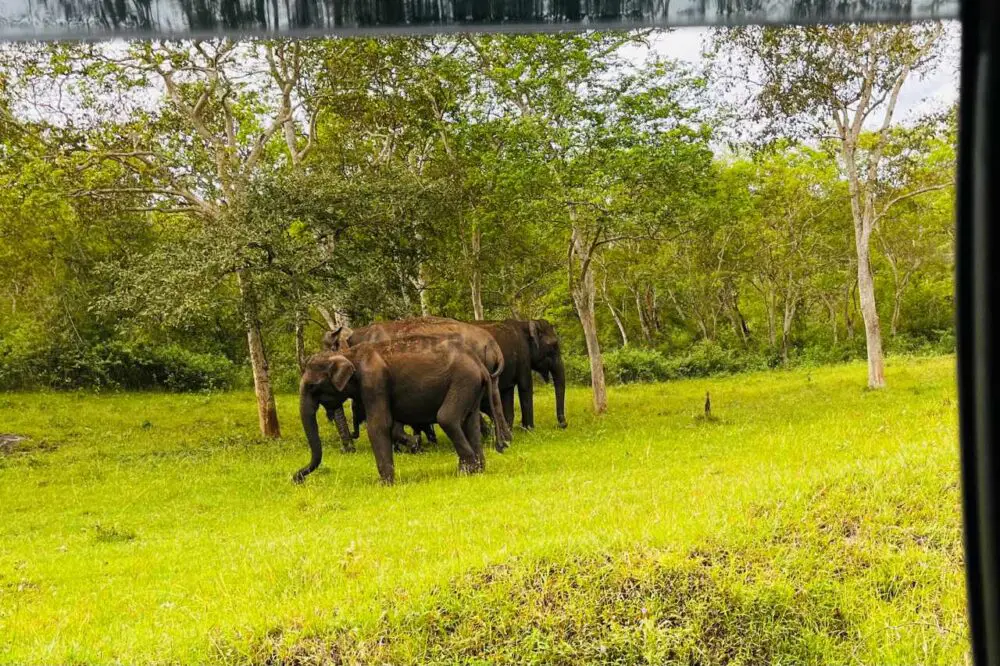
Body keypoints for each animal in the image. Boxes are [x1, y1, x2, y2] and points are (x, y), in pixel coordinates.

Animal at [294, 338, 500, 482]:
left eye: (312, 386)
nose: (297, 478)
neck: (348, 353)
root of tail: (480, 364)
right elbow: (390, 426)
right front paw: (414, 443)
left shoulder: (374, 381)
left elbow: (378, 425)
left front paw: (384, 483)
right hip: (472, 386)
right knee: (470, 423)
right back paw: (477, 469)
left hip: (463, 381)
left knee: (447, 418)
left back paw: (466, 471)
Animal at [324, 316, 512, 452]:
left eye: (331, 350)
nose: (346, 449)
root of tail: (493, 345)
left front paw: (413, 445)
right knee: (493, 400)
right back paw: (504, 439)